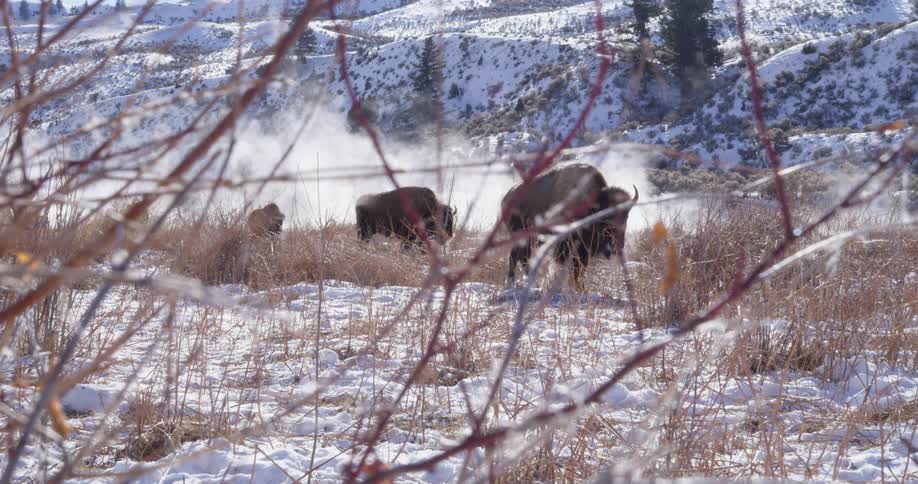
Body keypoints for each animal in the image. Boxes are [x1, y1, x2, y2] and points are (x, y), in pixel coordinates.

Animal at [501, 163, 638, 289]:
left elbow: (579, 271)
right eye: (604, 219)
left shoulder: (582, 252)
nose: (616, 247)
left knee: (518, 257)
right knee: (519, 258)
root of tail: (506, 198)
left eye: (626, 217)